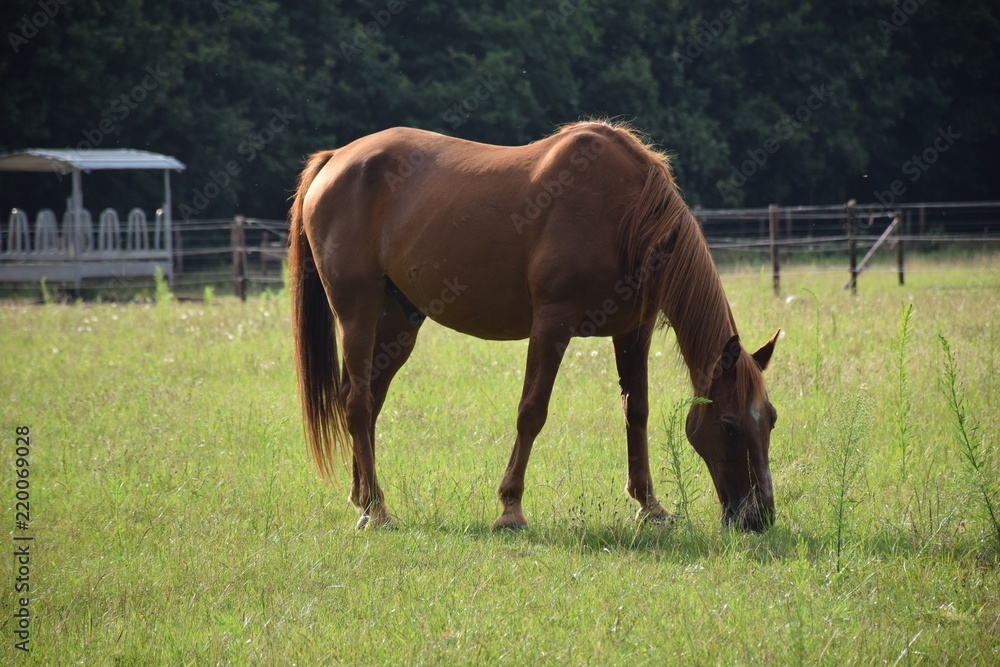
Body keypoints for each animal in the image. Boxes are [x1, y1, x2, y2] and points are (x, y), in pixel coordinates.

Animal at [289, 121, 779, 532]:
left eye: (771, 420)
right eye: (730, 425)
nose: (760, 518)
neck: (623, 212)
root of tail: (335, 158)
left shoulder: (631, 332)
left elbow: (635, 411)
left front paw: (650, 505)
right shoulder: (552, 324)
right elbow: (531, 412)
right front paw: (510, 509)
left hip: (399, 322)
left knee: (368, 400)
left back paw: (362, 497)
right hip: (357, 310)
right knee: (356, 402)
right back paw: (377, 510)